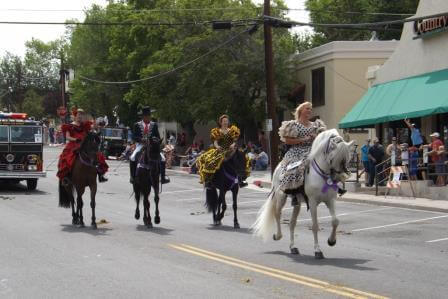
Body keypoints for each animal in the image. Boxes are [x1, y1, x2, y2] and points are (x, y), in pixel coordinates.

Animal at [252, 130, 354, 258]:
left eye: (346, 159)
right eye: (333, 158)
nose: (337, 178)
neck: (322, 175)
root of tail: (278, 167)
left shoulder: (330, 200)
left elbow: (335, 221)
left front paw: (331, 241)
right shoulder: (313, 202)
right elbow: (315, 226)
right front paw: (317, 250)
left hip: (297, 203)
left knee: (292, 223)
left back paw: (293, 247)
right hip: (281, 197)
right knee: (277, 214)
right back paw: (277, 236)